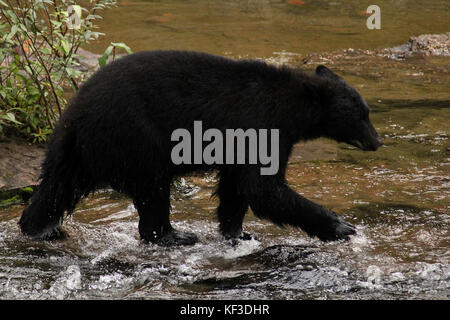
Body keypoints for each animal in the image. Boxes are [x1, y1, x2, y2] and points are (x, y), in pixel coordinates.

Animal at [18, 50, 384, 245]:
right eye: (361, 115)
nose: (377, 141)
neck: (291, 108)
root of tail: (79, 109)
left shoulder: (243, 142)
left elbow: (237, 187)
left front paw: (238, 233)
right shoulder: (261, 124)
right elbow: (263, 188)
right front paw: (341, 225)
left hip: (75, 147)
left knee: (57, 186)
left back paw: (39, 228)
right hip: (135, 136)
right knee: (153, 188)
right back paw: (173, 235)